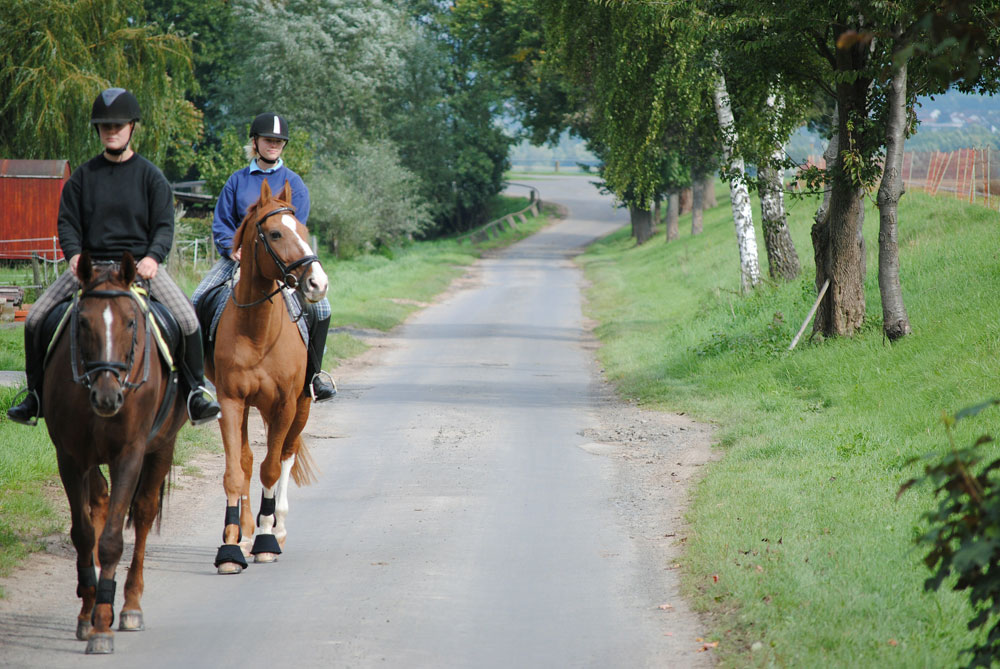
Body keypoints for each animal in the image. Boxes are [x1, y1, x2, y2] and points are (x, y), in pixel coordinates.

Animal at [42, 250, 187, 652]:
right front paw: (87, 615)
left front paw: (103, 626)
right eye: (83, 322)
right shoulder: (70, 458)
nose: (107, 398)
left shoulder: (129, 456)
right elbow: (84, 534)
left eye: (130, 322)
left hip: (162, 446)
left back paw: (131, 607)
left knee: (144, 513)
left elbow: (110, 541)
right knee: (101, 502)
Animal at [207, 179, 328, 576]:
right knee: (247, 460)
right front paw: (232, 546)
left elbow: (272, 469)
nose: (317, 283)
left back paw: (278, 528)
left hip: (300, 407)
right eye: (275, 233)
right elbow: (236, 469)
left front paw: (266, 540)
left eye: (302, 230)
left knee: (287, 454)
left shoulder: (286, 404)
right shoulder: (231, 401)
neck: (257, 331)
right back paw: (245, 531)